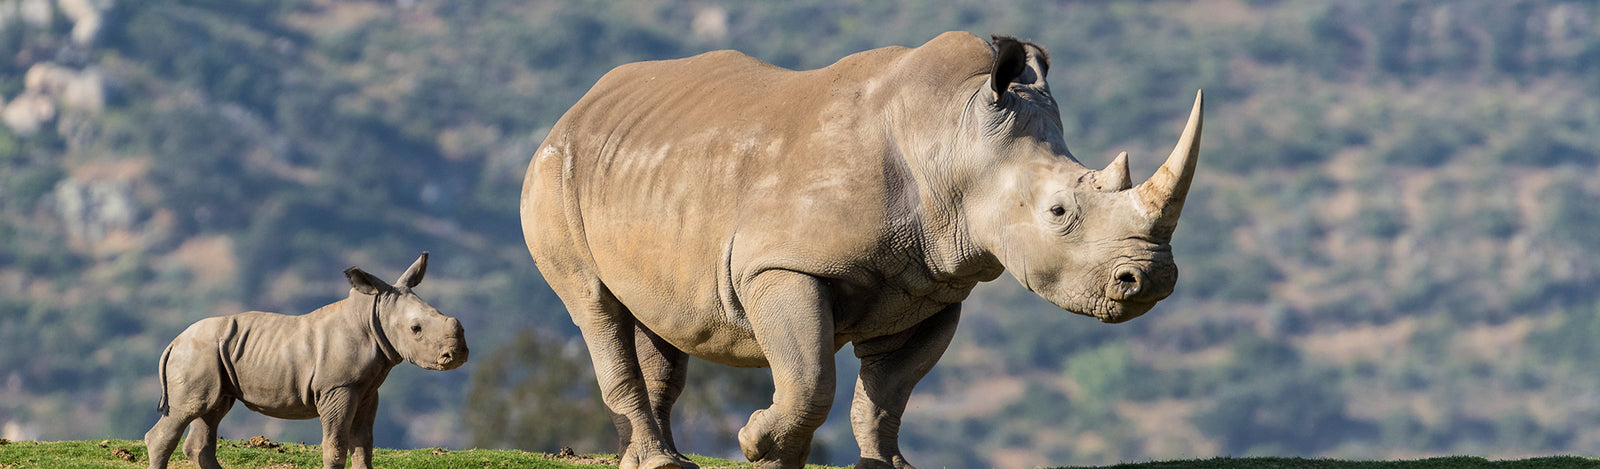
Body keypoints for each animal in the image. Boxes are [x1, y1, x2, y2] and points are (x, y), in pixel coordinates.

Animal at [143, 253, 468, 469]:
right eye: (416, 330)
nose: (457, 355)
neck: (371, 316)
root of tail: (174, 342)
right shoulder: (338, 388)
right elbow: (336, 443)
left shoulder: (367, 390)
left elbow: (364, 444)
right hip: (195, 354)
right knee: (187, 411)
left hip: (213, 356)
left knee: (212, 411)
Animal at [519, 32, 1203, 469]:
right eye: (1059, 212)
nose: (1151, 280)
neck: (954, 136)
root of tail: (576, 108)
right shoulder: (781, 266)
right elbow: (810, 378)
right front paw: (761, 448)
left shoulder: (933, 288)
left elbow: (888, 393)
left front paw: (885, 468)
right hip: (554, 172)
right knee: (596, 309)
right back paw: (660, 461)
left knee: (660, 323)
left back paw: (656, 460)